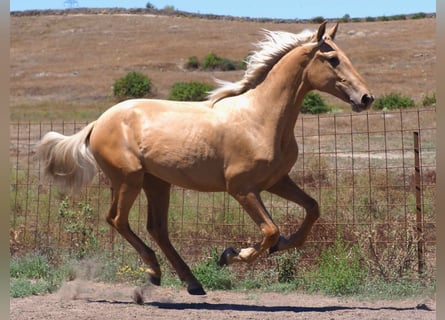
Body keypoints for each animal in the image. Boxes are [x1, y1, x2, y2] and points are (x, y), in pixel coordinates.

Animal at [37, 21, 372, 296]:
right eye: (332, 59)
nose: (366, 98)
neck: (260, 119)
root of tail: (98, 122)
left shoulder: (276, 181)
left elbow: (312, 209)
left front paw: (281, 246)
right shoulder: (241, 189)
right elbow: (269, 230)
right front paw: (232, 255)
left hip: (156, 182)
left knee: (156, 228)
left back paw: (192, 282)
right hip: (128, 179)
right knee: (117, 220)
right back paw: (154, 272)